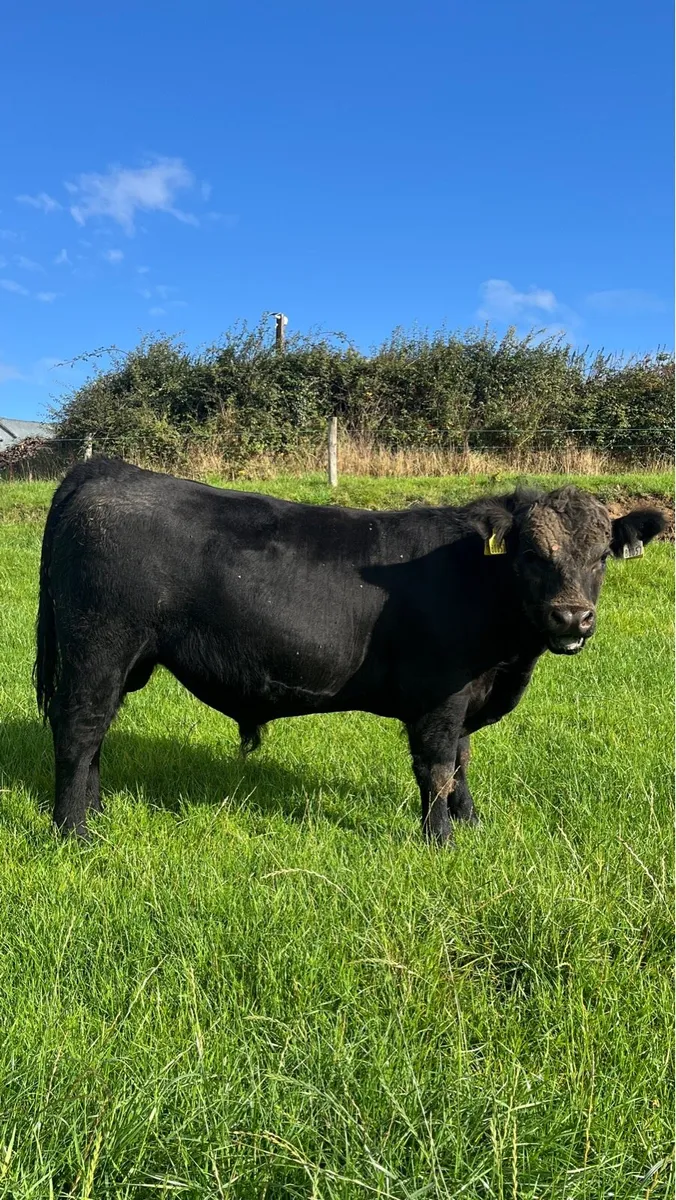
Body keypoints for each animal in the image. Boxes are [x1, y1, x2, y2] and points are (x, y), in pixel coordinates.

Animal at [35, 458, 665, 841]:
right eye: (532, 555)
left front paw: (473, 827)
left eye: (602, 557)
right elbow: (437, 768)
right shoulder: (438, 699)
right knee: (79, 730)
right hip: (99, 647)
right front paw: (439, 840)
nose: (572, 617)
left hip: (124, 660)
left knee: (97, 735)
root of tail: (107, 469)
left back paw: (95, 812)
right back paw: (75, 831)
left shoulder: (464, 700)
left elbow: (462, 764)